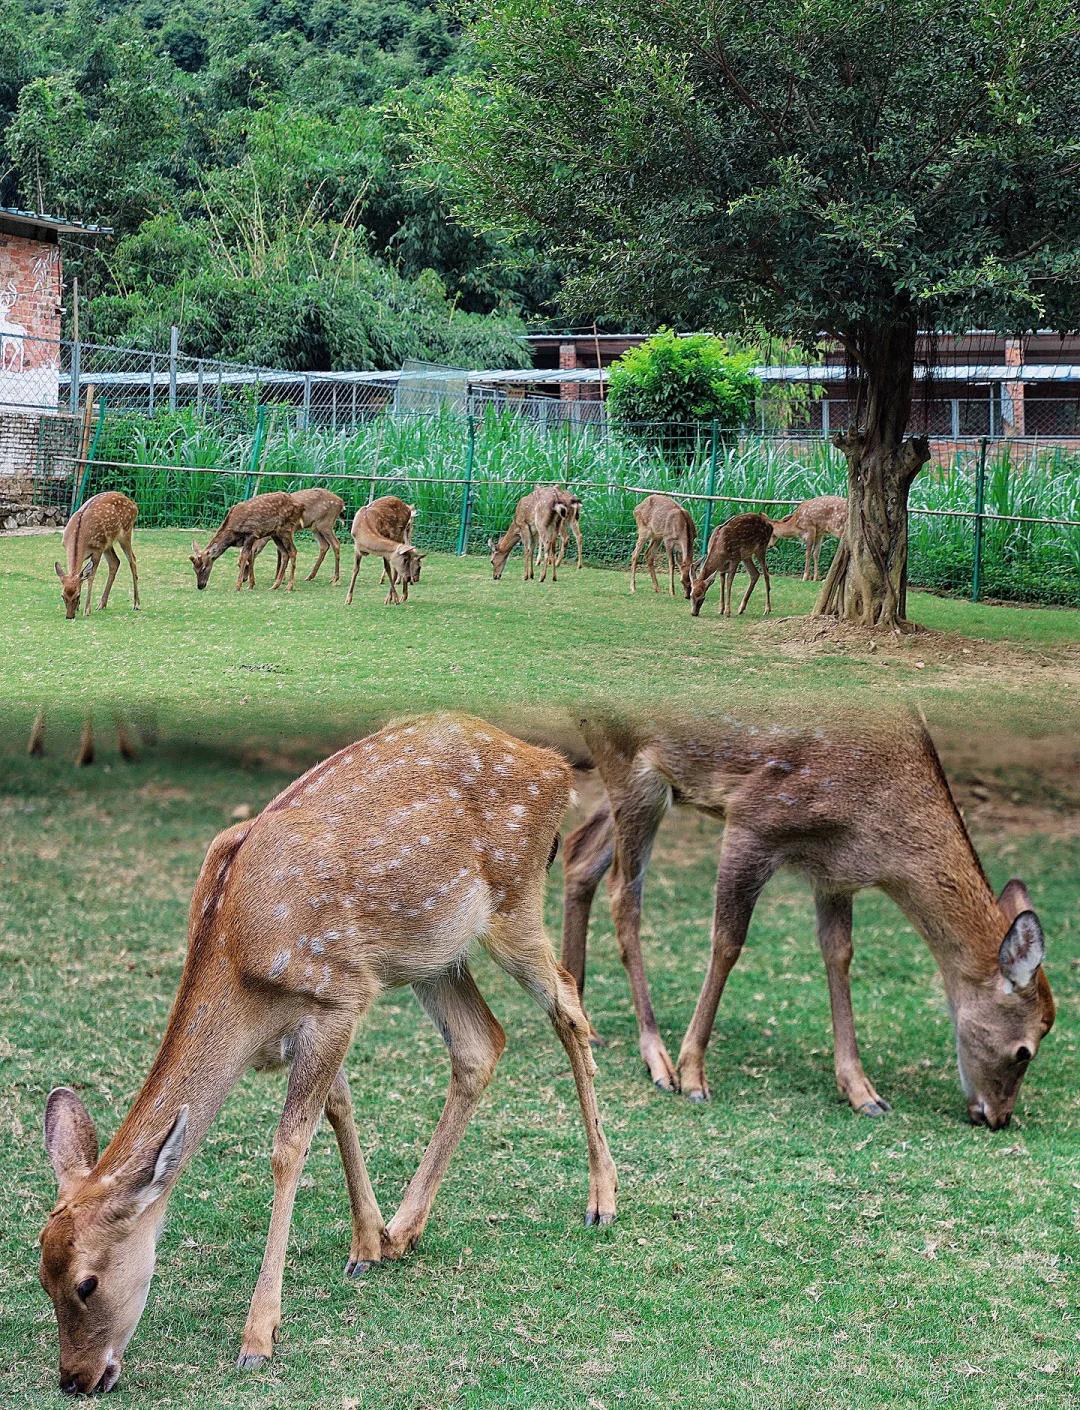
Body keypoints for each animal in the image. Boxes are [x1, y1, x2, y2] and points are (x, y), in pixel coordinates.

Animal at [39, 715, 617, 1393]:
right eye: (42, 1274)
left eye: (87, 1282)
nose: (75, 1378)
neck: (240, 965)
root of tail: (554, 766)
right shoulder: (309, 1021)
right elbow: (339, 1106)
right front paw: (368, 1243)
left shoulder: (340, 993)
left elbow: (289, 1147)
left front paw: (258, 1337)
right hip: (435, 953)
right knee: (482, 1043)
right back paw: (406, 1226)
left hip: (514, 898)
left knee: (569, 1005)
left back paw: (602, 1198)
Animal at [560, 710, 1055, 1128]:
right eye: (1024, 1051)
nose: (997, 1118)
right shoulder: (753, 818)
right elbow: (728, 943)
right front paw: (694, 1076)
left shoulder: (834, 872)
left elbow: (839, 954)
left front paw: (863, 1092)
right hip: (630, 765)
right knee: (623, 894)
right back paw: (657, 1056)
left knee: (579, 853)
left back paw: (584, 1020)